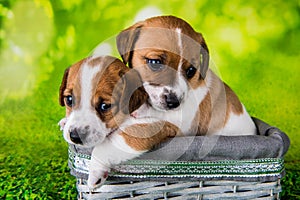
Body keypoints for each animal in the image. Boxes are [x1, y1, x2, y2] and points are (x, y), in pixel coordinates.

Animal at [59, 55, 179, 189]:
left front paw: (95, 171)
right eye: (69, 99)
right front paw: (64, 122)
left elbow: (108, 144)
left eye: (105, 106)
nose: (75, 136)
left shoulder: (152, 125)